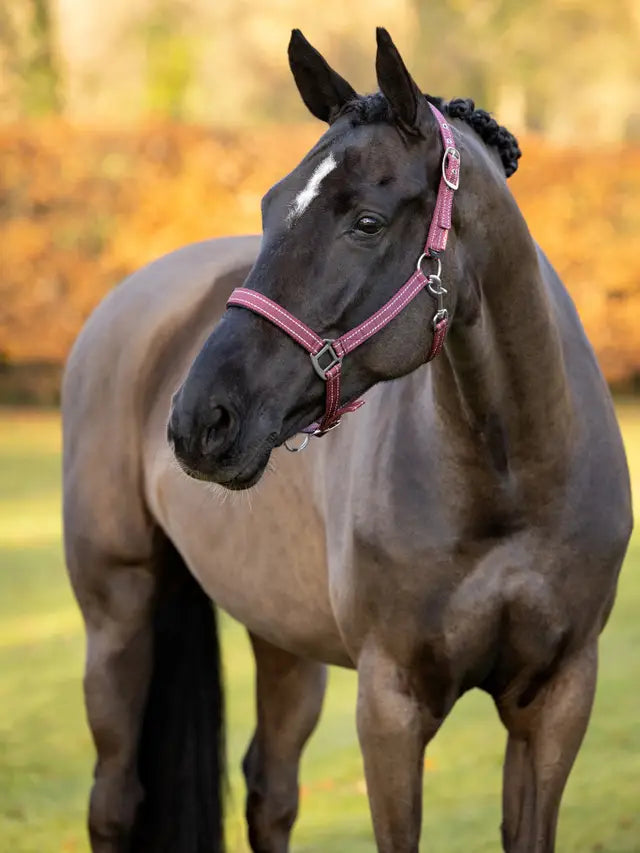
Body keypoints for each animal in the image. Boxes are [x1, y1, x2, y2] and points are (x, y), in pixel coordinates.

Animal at [62, 27, 632, 853]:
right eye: (271, 206)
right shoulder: (390, 703)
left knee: (270, 793)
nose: (200, 418)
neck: (511, 480)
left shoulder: (556, 700)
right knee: (114, 800)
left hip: (280, 632)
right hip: (117, 613)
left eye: (366, 220)